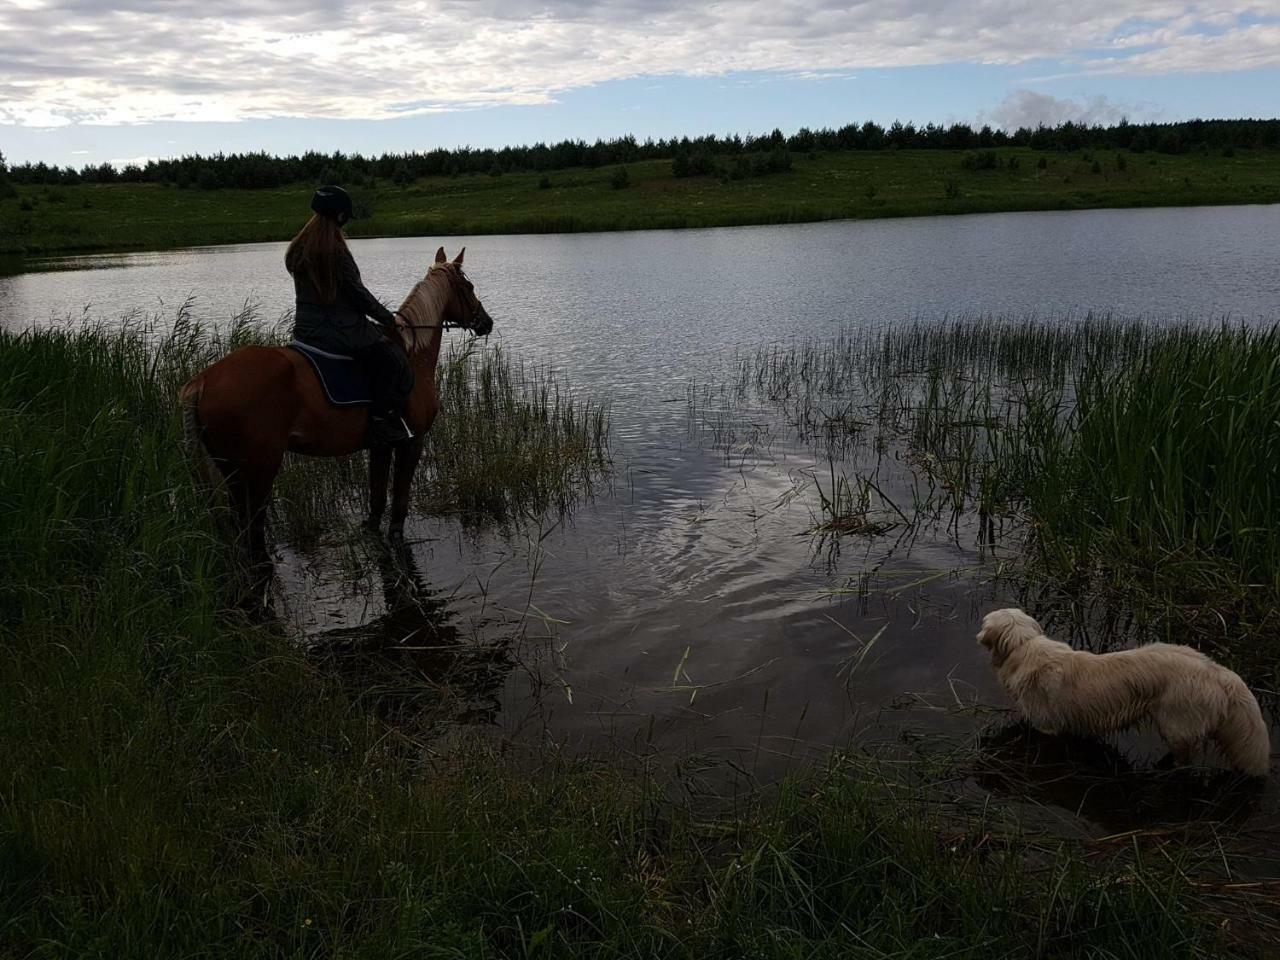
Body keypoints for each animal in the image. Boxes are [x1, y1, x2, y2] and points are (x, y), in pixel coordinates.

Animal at [183, 244, 491, 599]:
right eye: (469, 287)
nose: (486, 322)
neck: (413, 354)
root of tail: (204, 380)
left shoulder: (382, 445)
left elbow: (376, 501)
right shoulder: (413, 442)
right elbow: (398, 507)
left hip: (232, 471)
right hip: (259, 469)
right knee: (253, 528)